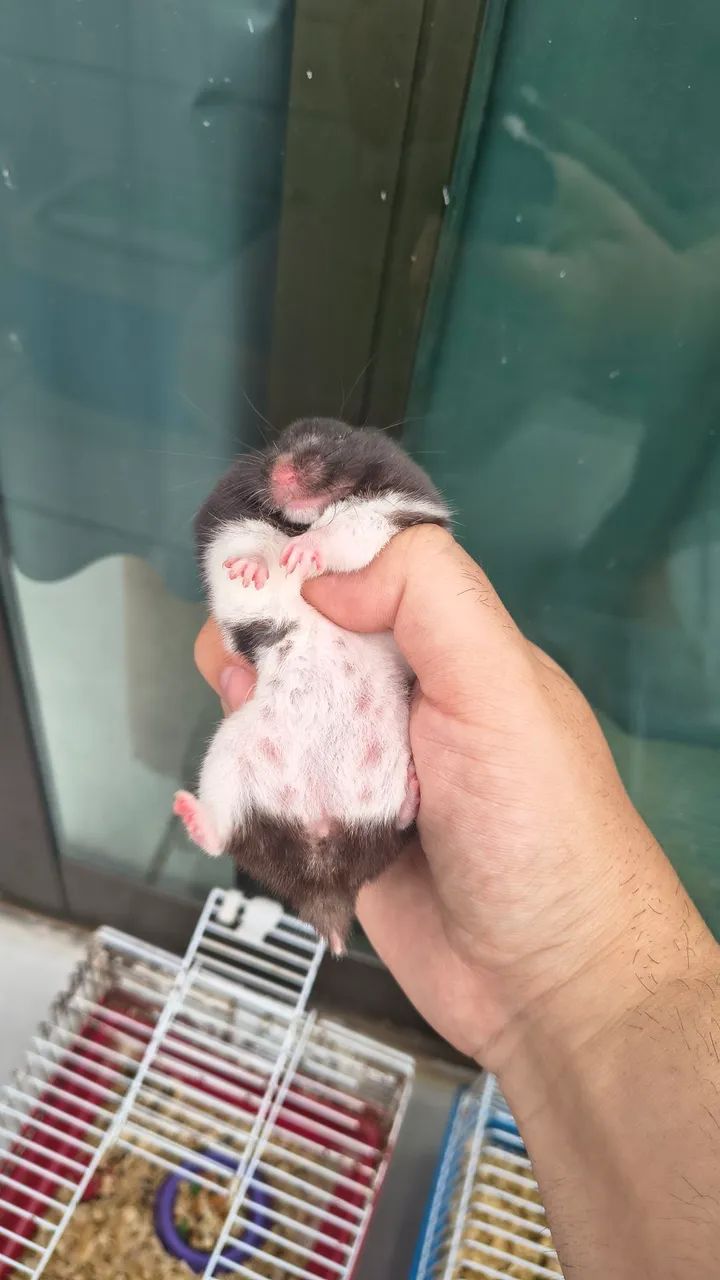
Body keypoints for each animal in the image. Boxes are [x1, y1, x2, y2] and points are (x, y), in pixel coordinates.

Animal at [174, 417, 451, 955]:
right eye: (276, 444)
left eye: (336, 440)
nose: (282, 473)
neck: (299, 519)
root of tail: (324, 876)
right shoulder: (224, 522)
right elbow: (244, 544)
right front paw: (253, 569)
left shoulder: (400, 509)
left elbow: (348, 527)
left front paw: (302, 552)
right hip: (229, 760)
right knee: (225, 835)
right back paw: (187, 810)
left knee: (393, 829)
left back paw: (411, 795)